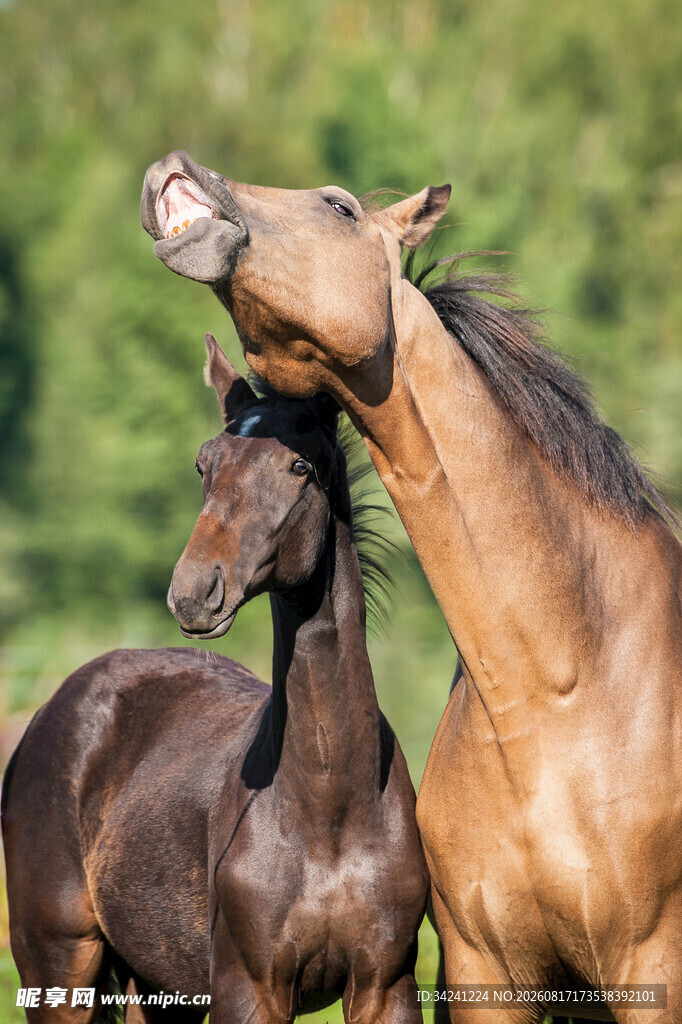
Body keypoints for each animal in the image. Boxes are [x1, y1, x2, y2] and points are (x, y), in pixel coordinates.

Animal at [2, 334, 429, 1024]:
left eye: (300, 466)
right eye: (205, 464)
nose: (194, 593)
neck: (330, 809)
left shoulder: (385, 985)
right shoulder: (248, 989)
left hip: (160, 983)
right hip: (59, 962)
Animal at [141, 152, 682, 1024]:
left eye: (338, 206)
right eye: (202, 465)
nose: (172, 168)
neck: (560, 687)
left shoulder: (653, 971)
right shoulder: (484, 973)